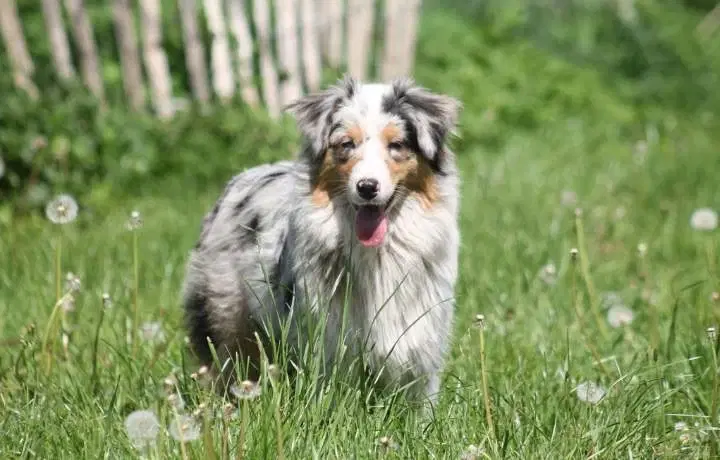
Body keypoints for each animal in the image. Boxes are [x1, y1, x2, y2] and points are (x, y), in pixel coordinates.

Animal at [180, 74, 462, 406]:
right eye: (346, 144)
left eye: (396, 145)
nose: (367, 187)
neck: (378, 254)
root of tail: (242, 176)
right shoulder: (327, 336)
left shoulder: (420, 336)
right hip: (225, 314)